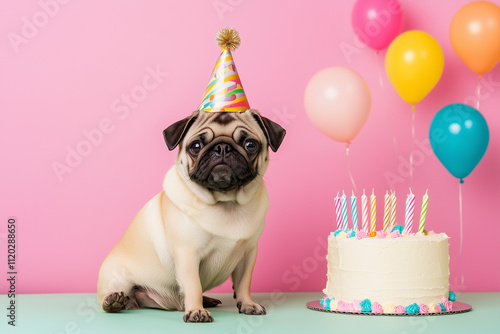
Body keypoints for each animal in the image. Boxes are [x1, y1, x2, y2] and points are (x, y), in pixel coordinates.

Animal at [97, 108, 286, 322]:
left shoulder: (248, 255)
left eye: (250, 145)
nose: (222, 147)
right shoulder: (188, 254)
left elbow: (244, 283)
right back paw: (114, 301)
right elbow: (194, 284)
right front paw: (196, 311)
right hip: (118, 278)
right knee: (114, 298)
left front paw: (248, 304)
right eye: (196, 147)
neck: (226, 202)